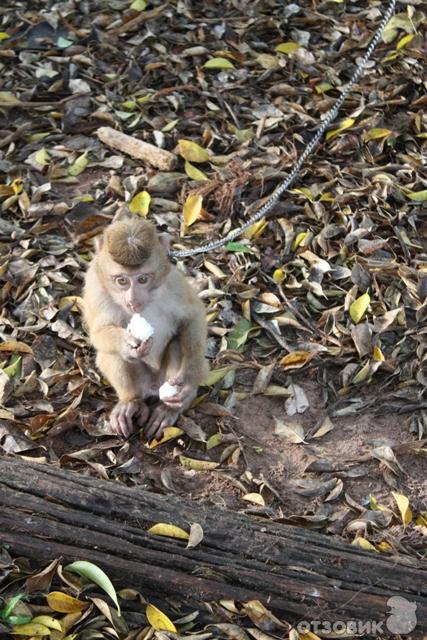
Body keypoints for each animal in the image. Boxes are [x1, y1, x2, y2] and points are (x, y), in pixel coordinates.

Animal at [82, 215, 209, 440]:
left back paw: (171, 407)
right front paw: (126, 344)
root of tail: (152, 387)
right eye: (122, 281)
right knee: (110, 353)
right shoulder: (95, 286)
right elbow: (98, 333)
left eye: (142, 279)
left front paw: (189, 376)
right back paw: (130, 403)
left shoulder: (173, 282)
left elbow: (192, 316)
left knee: (179, 342)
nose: (133, 300)